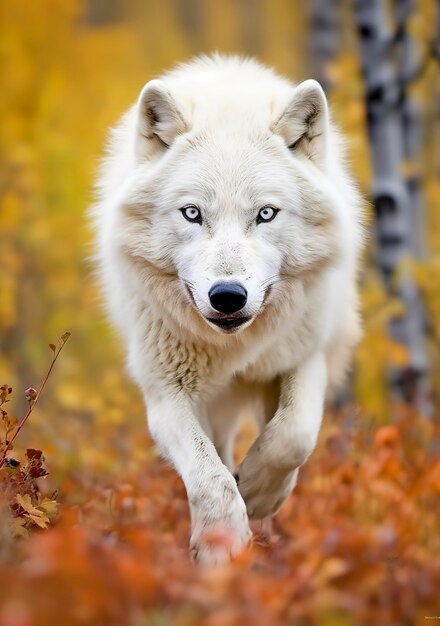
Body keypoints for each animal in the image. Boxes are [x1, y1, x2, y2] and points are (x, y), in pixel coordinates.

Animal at [91, 54, 362, 560]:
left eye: (266, 214)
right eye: (193, 213)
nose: (228, 295)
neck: (234, 349)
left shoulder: (304, 355)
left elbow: (293, 436)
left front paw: (258, 491)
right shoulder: (166, 390)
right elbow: (210, 476)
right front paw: (222, 546)